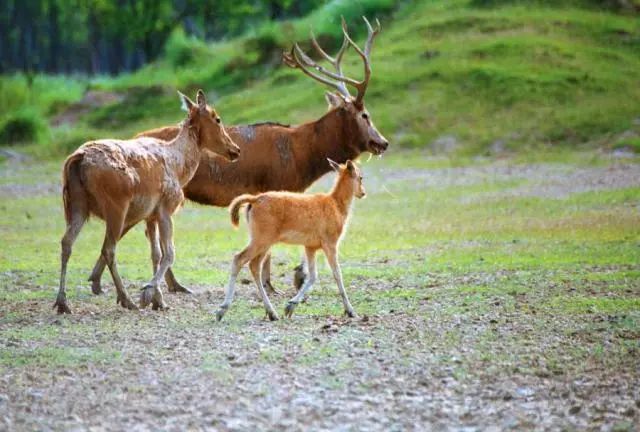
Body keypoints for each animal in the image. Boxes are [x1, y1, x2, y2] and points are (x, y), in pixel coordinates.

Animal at [54, 90, 240, 314]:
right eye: (217, 118)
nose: (236, 150)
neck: (180, 168)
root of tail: (77, 159)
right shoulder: (166, 207)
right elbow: (169, 253)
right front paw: (147, 292)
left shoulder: (150, 215)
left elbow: (155, 253)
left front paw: (158, 301)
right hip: (116, 205)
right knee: (108, 249)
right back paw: (126, 299)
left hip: (76, 204)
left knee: (66, 242)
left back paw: (62, 302)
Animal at [84, 17, 384, 300]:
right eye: (365, 115)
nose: (382, 142)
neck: (301, 157)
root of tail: (135, 136)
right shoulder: (276, 184)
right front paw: (275, 283)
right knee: (128, 230)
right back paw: (117, 283)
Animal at [215, 159, 364, 320]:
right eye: (361, 177)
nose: (363, 193)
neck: (336, 205)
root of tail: (254, 199)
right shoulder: (330, 244)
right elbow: (337, 274)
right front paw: (351, 311)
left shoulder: (310, 247)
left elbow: (312, 276)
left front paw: (290, 306)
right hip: (261, 240)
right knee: (239, 259)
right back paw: (222, 310)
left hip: (264, 243)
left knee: (254, 266)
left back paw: (272, 313)